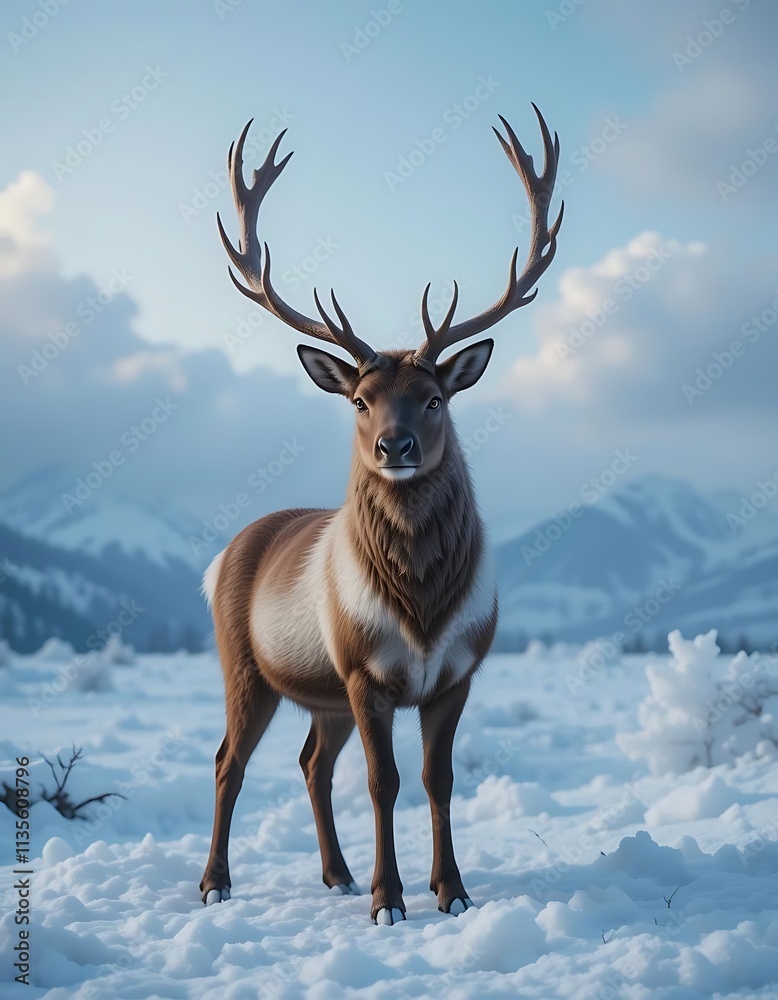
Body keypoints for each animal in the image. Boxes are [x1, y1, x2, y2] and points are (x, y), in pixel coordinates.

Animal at [199, 106, 563, 924]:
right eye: (361, 400)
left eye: (434, 398)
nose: (396, 446)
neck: (422, 609)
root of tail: (221, 556)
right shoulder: (366, 671)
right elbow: (384, 782)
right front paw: (389, 899)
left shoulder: (456, 672)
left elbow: (438, 780)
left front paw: (451, 890)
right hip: (247, 663)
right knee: (229, 759)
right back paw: (215, 882)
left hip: (322, 695)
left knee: (311, 762)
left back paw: (334, 873)